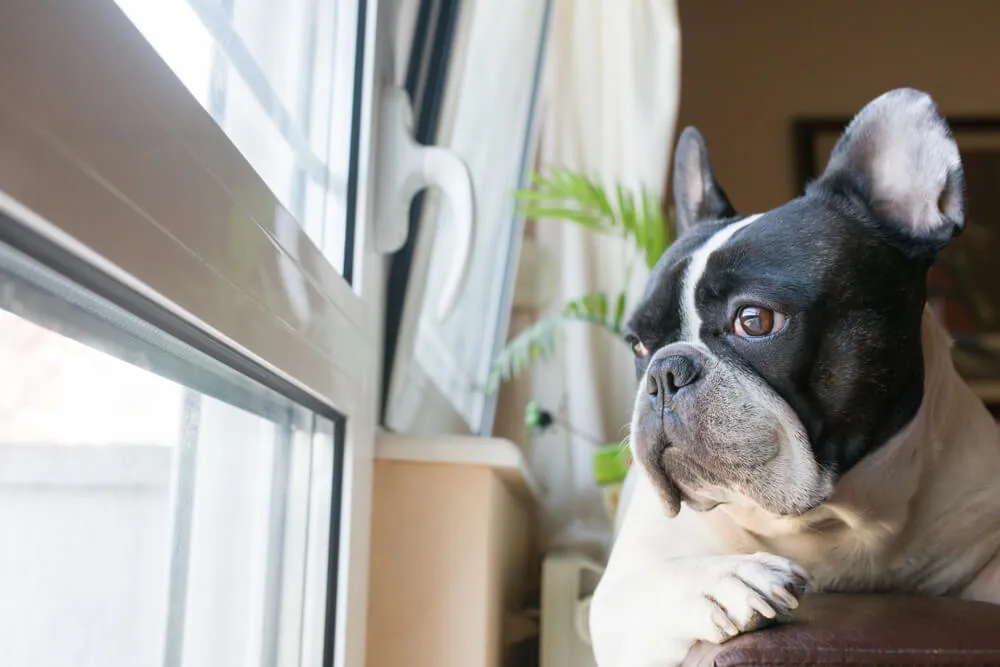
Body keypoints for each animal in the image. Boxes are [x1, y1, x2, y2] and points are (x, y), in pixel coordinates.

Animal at [588, 88, 1000, 667]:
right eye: (639, 345)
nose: (663, 373)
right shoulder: (618, 599)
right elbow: (652, 584)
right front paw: (728, 581)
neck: (843, 519)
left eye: (755, 320)